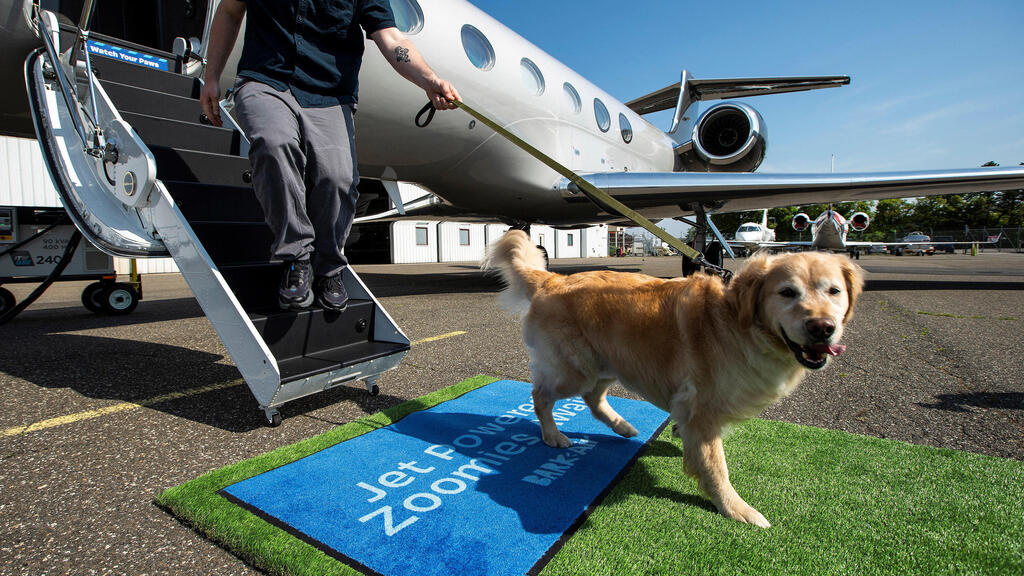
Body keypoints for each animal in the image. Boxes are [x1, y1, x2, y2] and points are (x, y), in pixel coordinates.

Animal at [483, 230, 860, 528]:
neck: (737, 324)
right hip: (576, 369)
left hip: (611, 361)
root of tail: (552, 279)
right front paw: (734, 508)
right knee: (541, 395)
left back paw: (622, 427)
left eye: (834, 291)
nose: (822, 328)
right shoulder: (702, 409)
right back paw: (553, 435)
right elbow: (716, 467)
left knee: (593, 398)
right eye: (787, 292)